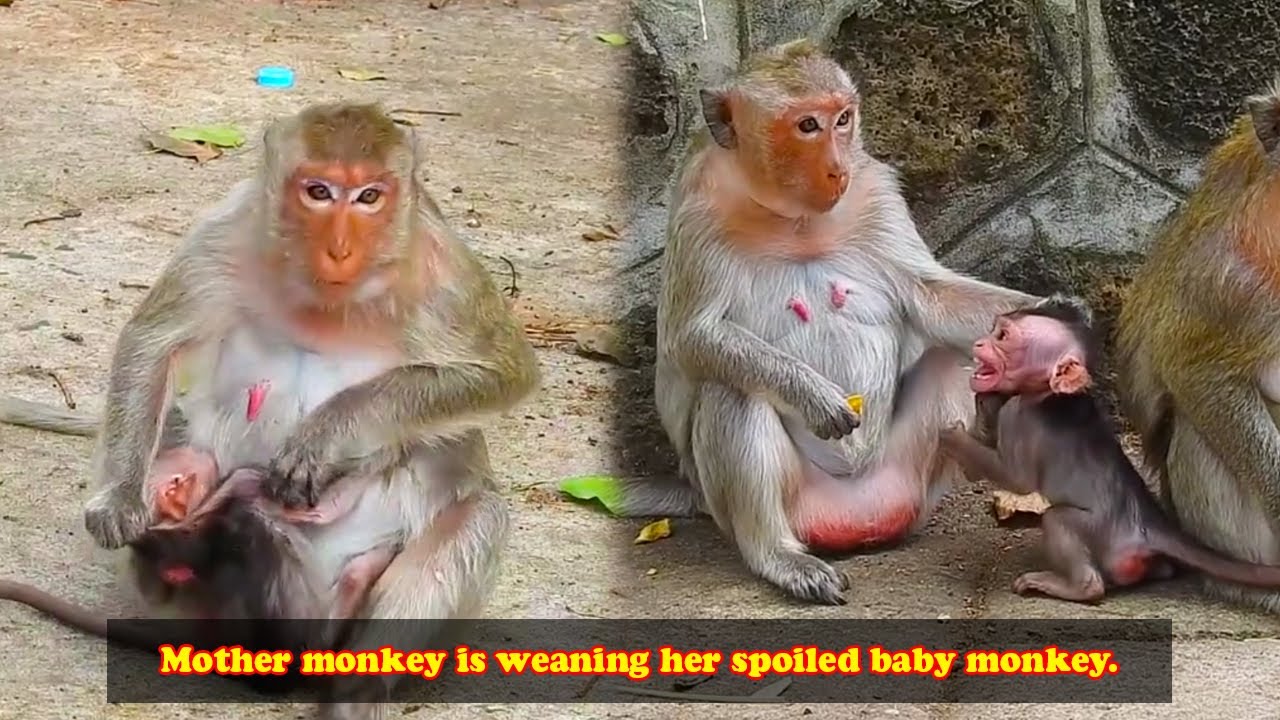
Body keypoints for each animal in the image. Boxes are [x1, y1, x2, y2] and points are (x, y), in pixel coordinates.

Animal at [2, 102, 540, 719]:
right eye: (318, 191)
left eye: (369, 197)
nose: (339, 248)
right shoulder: (224, 231)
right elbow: (153, 342)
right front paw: (119, 501)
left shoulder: (444, 269)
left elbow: (502, 374)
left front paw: (325, 435)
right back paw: (178, 520)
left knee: (477, 516)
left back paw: (357, 688)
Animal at [620, 38, 1039, 605]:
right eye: (807, 126)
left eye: (843, 119)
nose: (838, 168)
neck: (791, 218)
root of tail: (857, 522)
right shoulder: (696, 215)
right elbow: (691, 339)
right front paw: (812, 394)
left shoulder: (877, 192)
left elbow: (929, 296)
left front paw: (1056, 314)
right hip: (782, 503)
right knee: (731, 389)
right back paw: (779, 557)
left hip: (904, 479)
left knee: (952, 358)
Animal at [939, 296, 1280, 604]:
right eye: (995, 330)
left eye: (1003, 336)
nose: (980, 344)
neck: (1047, 394)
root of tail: (1150, 525)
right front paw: (983, 404)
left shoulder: (1018, 417)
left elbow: (1016, 479)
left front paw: (952, 437)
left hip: (1104, 534)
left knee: (1059, 520)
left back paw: (1076, 586)